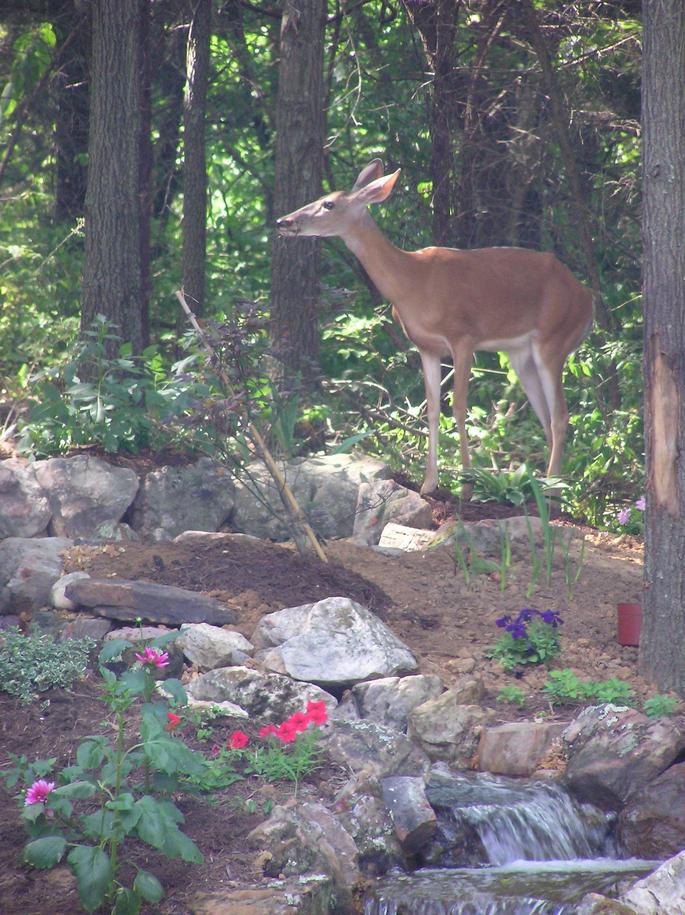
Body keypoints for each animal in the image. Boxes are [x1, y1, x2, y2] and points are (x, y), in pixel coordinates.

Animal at [276, 161, 592, 498]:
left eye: (329, 204)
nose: (283, 221)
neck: (412, 283)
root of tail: (588, 299)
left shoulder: (464, 336)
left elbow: (459, 407)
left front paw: (466, 485)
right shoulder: (425, 346)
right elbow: (432, 411)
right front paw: (429, 484)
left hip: (554, 337)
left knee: (560, 415)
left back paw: (553, 490)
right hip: (521, 353)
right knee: (546, 416)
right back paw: (546, 484)